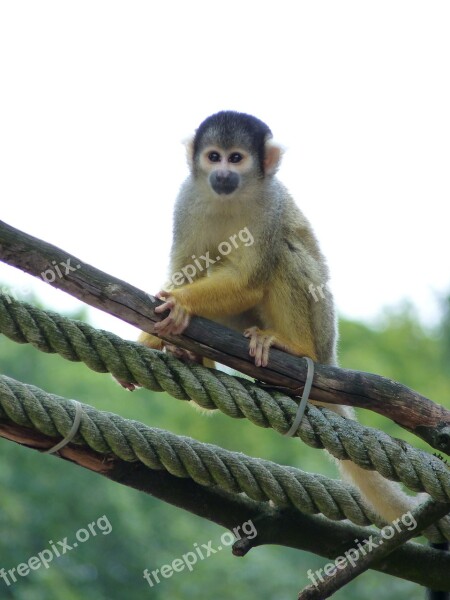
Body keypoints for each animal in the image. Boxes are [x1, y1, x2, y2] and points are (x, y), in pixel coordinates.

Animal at [138, 110, 414, 524]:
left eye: (236, 159)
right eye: (214, 157)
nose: (222, 174)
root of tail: (330, 354)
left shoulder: (271, 206)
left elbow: (251, 278)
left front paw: (182, 304)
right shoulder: (186, 198)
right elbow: (186, 266)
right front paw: (157, 331)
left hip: (322, 326)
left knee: (284, 250)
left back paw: (296, 347)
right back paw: (196, 356)